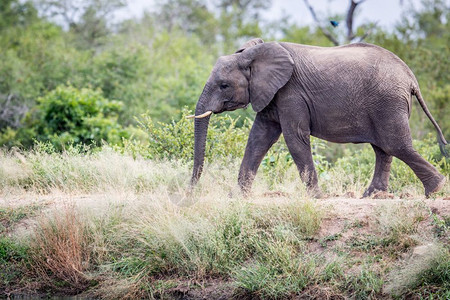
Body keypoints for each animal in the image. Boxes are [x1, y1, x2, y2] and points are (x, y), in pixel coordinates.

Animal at [189, 38, 446, 198]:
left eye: (224, 85)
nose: (190, 192)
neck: (253, 54)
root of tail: (411, 77)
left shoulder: (290, 92)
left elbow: (294, 138)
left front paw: (316, 197)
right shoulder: (271, 94)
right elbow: (259, 139)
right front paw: (237, 196)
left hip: (387, 101)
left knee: (395, 145)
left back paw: (436, 189)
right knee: (383, 149)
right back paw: (372, 196)